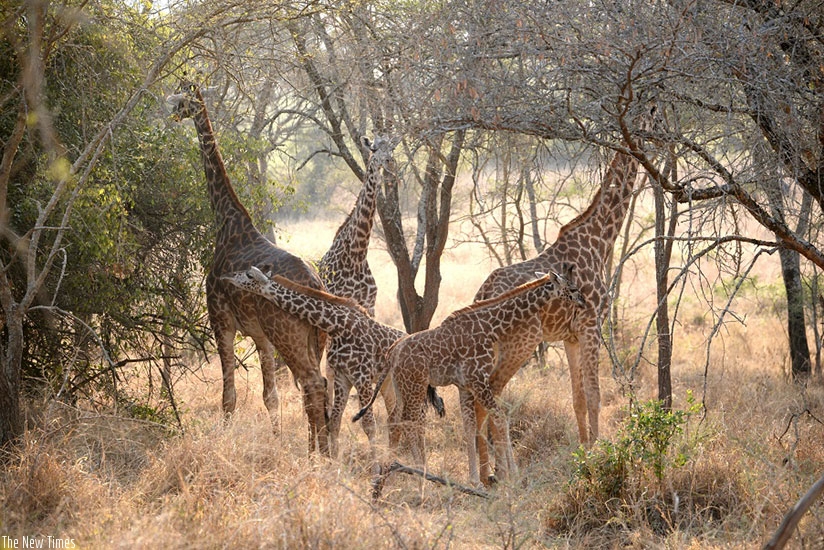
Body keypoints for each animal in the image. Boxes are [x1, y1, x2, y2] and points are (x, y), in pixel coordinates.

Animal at [167, 81, 330, 455]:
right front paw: (277, 439)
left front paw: (224, 442)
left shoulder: (220, 320)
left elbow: (228, 396)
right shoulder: (260, 335)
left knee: (313, 384)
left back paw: (316, 456)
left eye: (181, 101)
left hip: (289, 336)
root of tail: (316, 285)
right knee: (321, 385)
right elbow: (270, 396)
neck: (227, 222)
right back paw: (322, 449)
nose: (172, 115)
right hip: (315, 339)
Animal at [220, 266, 444, 460]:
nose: (227, 276)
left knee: (417, 419)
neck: (337, 326)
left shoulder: (361, 376)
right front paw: (334, 463)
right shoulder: (342, 376)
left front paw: (374, 465)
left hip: (414, 384)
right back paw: (397, 456)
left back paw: (417, 462)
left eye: (249, 275)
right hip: (390, 383)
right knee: (396, 418)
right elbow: (335, 421)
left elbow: (368, 424)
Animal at [353, 270, 584, 491]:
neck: (492, 327)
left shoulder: (465, 386)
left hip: (402, 386)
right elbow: (500, 417)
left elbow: (470, 426)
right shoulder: (479, 380)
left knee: (396, 419)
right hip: (415, 385)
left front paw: (476, 480)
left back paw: (390, 475)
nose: (582, 300)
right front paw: (511, 477)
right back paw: (420, 478)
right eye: (572, 287)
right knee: (409, 420)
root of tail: (392, 353)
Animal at [473, 149, 640, 483]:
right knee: (492, 393)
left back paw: (489, 473)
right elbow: (594, 394)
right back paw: (502, 473)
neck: (600, 241)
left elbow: (577, 399)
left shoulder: (570, 336)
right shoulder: (592, 325)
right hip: (516, 346)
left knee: (481, 397)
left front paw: (585, 453)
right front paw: (601, 454)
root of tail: (483, 293)